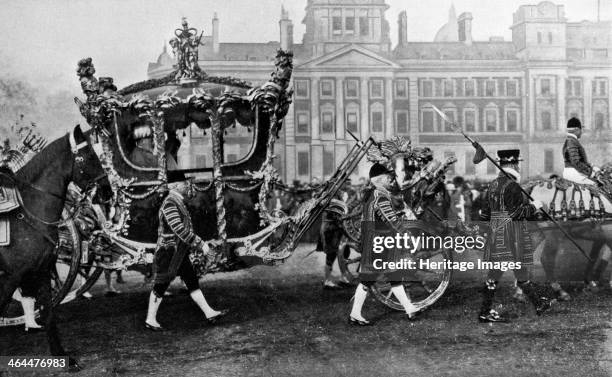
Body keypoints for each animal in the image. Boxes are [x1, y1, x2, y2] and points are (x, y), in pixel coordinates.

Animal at [0, 125, 110, 370]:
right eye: (90, 155)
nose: (107, 191)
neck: (29, 210)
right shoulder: (12, 276)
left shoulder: (40, 271)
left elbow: (49, 313)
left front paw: (62, 355)